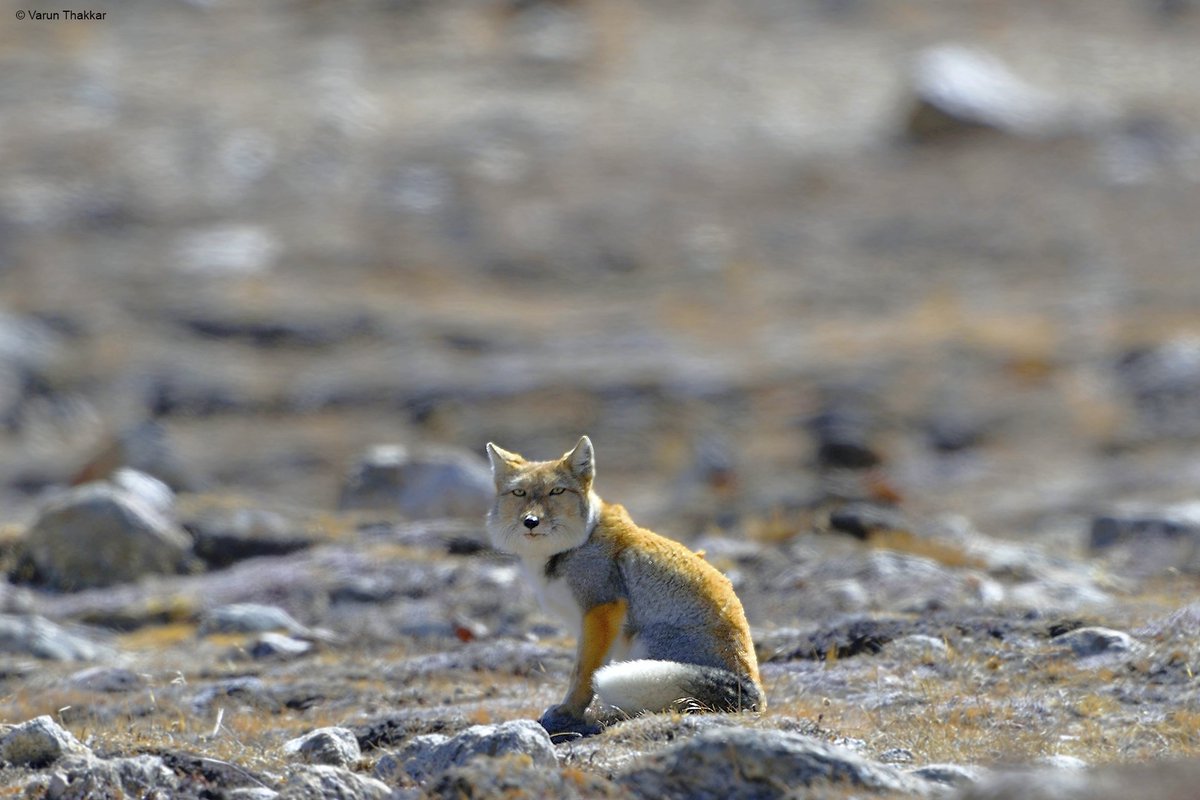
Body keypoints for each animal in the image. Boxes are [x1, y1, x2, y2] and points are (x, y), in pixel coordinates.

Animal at [485, 435, 764, 735]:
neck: (574, 545)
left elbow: (583, 674)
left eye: (556, 491)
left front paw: (568, 712)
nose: (531, 522)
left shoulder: (602, 609)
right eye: (519, 493)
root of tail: (754, 693)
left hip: (642, 644)